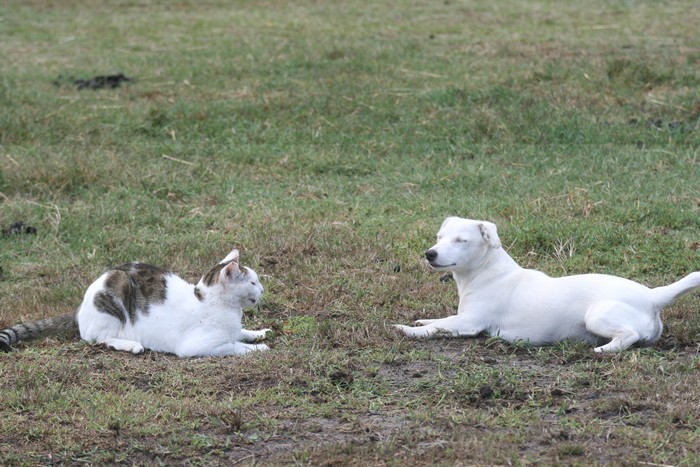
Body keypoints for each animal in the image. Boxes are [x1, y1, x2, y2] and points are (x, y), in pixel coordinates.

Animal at [0, 250, 270, 356]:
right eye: (253, 282)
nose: (263, 289)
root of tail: (80, 307)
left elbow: (240, 333)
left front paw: (257, 333)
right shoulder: (197, 347)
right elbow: (234, 346)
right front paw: (258, 348)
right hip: (114, 292)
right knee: (98, 339)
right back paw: (131, 345)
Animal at [394, 218, 700, 352]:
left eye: (461, 240)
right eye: (439, 237)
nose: (430, 254)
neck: (487, 272)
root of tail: (652, 296)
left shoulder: (469, 323)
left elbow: (436, 329)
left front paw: (409, 330)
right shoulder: (461, 317)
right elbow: (439, 320)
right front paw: (421, 320)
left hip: (597, 316)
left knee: (630, 335)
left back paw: (604, 350)